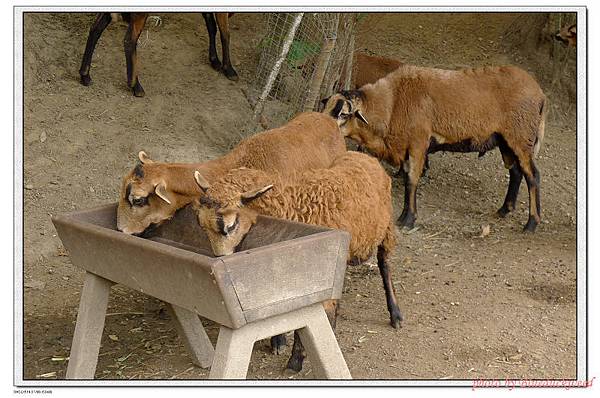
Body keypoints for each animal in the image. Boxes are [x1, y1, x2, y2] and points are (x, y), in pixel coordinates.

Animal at [78, 12, 238, 97]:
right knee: (129, 40)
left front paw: (215, 61)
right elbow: (225, 34)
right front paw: (229, 69)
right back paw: (136, 86)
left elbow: (211, 26)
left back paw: (85, 75)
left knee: (95, 28)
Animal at [193, 150, 404, 374]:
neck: (293, 204)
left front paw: (295, 359)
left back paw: (396, 315)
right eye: (201, 225)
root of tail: (364, 155)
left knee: (385, 265)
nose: (219, 258)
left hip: (386, 229)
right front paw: (279, 341)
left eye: (230, 225)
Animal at [324, 64, 548, 233]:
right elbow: (408, 178)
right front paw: (404, 216)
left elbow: (412, 180)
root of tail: (540, 94)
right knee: (516, 172)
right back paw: (504, 210)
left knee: (532, 176)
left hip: (521, 136)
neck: (391, 104)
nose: (324, 129)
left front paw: (408, 220)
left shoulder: (418, 142)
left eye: (344, 114)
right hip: (506, 141)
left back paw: (531, 224)